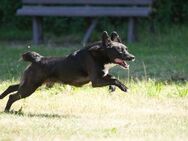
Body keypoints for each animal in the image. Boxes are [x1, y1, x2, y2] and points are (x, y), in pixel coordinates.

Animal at [0, 30, 135, 111]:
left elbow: (111, 78)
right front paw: (124, 88)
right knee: (13, 96)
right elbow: (114, 79)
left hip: (30, 83)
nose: (132, 57)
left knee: (11, 87)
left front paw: (112, 88)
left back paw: (1, 98)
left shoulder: (101, 76)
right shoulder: (96, 81)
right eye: (120, 51)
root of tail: (38, 59)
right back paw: (7, 110)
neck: (100, 54)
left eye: (127, 49)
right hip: (30, 87)